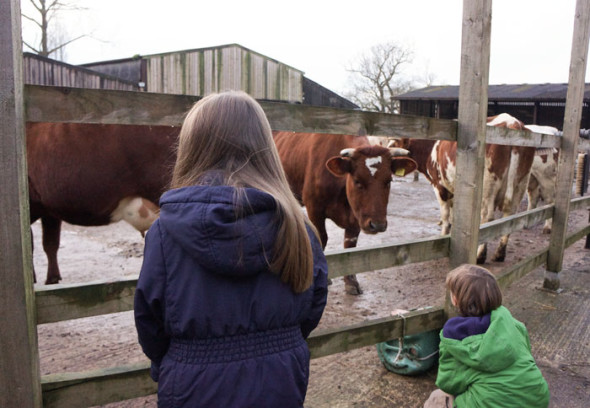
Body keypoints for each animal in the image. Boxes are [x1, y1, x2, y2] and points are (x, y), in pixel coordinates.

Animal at [274, 131, 418, 294]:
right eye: (357, 181)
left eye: (389, 181)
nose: (377, 225)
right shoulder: (315, 209)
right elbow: (322, 239)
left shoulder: (357, 215)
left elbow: (350, 245)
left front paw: (351, 281)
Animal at [394, 111, 536, 264]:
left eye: (394, 144)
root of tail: (512, 122)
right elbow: (453, 212)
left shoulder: (440, 187)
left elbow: (445, 214)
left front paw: (443, 236)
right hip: (520, 184)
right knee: (510, 215)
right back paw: (499, 254)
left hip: (488, 188)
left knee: (487, 218)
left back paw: (480, 255)